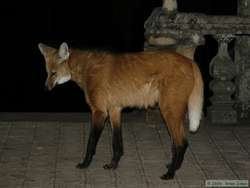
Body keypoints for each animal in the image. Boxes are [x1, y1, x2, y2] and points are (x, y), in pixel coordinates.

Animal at [38, 41, 203, 180]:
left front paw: (85, 164)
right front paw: (113, 165)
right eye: (47, 72)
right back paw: (173, 166)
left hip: (168, 110)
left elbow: (91, 143)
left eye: (53, 73)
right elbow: (117, 143)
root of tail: (190, 61)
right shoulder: (114, 109)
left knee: (181, 143)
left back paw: (171, 173)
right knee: (177, 142)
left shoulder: (99, 112)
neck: (85, 69)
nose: (45, 88)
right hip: (172, 112)